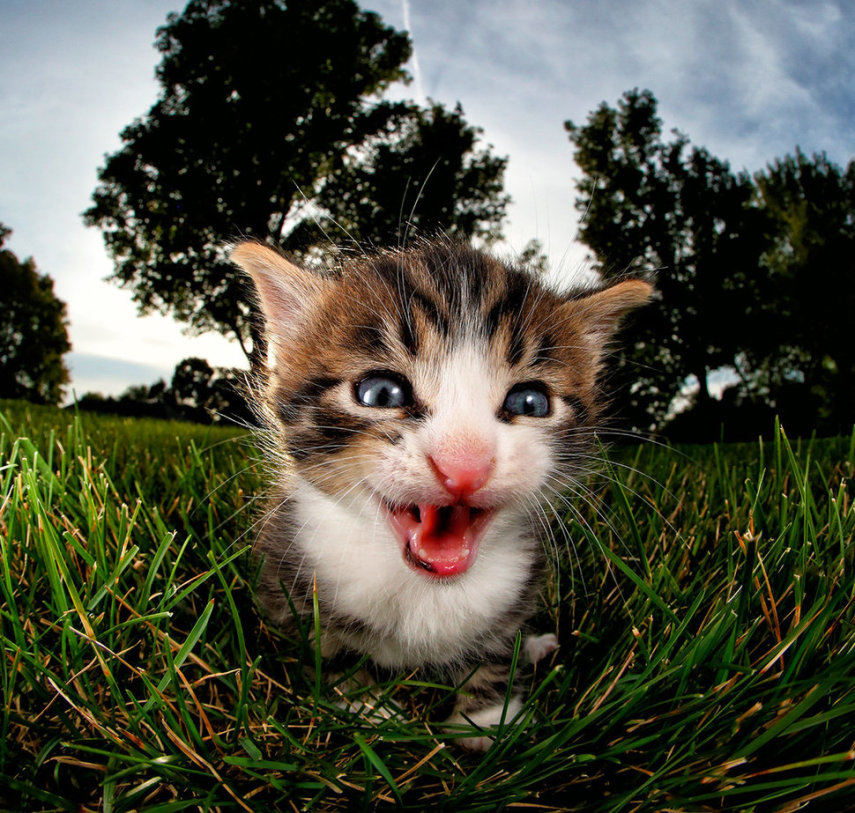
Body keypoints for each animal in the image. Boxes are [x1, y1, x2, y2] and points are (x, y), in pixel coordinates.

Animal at [231, 239, 652, 748]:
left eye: (530, 402)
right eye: (380, 392)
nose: (464, 466)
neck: (423, 591)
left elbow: (498, 647)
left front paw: (487, 721)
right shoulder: (289, 572)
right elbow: (328, 650)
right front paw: (366, 710)